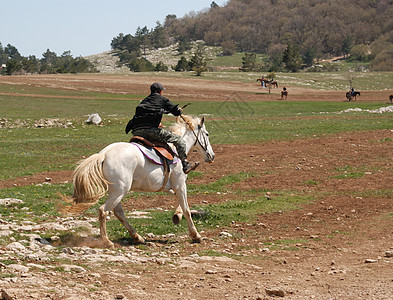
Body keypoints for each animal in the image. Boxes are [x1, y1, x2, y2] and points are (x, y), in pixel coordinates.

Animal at [61, 115, 214, 248]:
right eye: (206, 134)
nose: (212, 156)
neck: (175, 150)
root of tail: (103, 154)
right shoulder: (180, 185)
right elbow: (186, 209)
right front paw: (195, 235)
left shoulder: (172, 187)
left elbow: (182, 206)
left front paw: (177, 217)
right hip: (119, 191)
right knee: (103, 211)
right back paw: (107, 241)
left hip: (116, 192)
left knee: (118, 212)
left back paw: (137, 237)